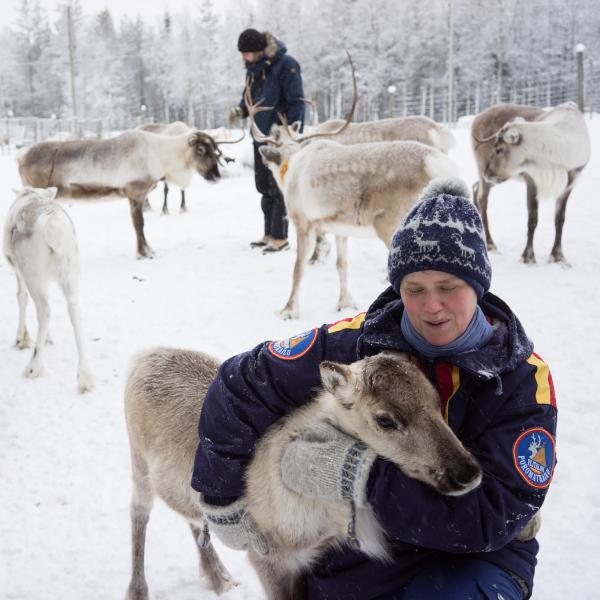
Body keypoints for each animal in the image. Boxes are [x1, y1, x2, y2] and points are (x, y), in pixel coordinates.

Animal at [2, 189, 94, 394]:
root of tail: (53, 227)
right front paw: (47, 339)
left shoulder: (18, 271)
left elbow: (21, 298)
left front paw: (21, 339)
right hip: (70, 270)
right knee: (74, 310)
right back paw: (85, 377)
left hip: (32, 271)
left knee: (44, 310)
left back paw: (33, 368)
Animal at [124, 346, 480, 600]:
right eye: (385, 420)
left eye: (435, 400)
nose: (468, 471)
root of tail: (146, 355)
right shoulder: (267, 558)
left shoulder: (312, 558)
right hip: (138, 464)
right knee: (139, 513)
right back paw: (138, 590)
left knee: (193, 517)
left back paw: (218, 577)